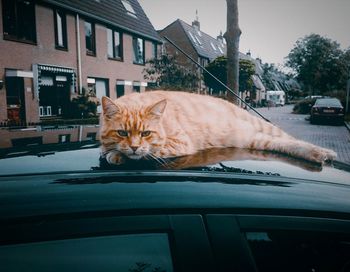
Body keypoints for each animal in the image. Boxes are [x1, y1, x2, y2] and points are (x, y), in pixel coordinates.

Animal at [99, 90, 336, 165]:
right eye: (122, 132)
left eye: (146, 133)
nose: (134, 147)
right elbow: (108, 147)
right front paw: (115, 152)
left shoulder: (180, 143)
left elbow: (151, 152)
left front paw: (118, 155)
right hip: (256, 139)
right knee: (284, 144)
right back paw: (319, 155)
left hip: (262, 128)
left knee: (291, 138)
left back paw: (325, 153)